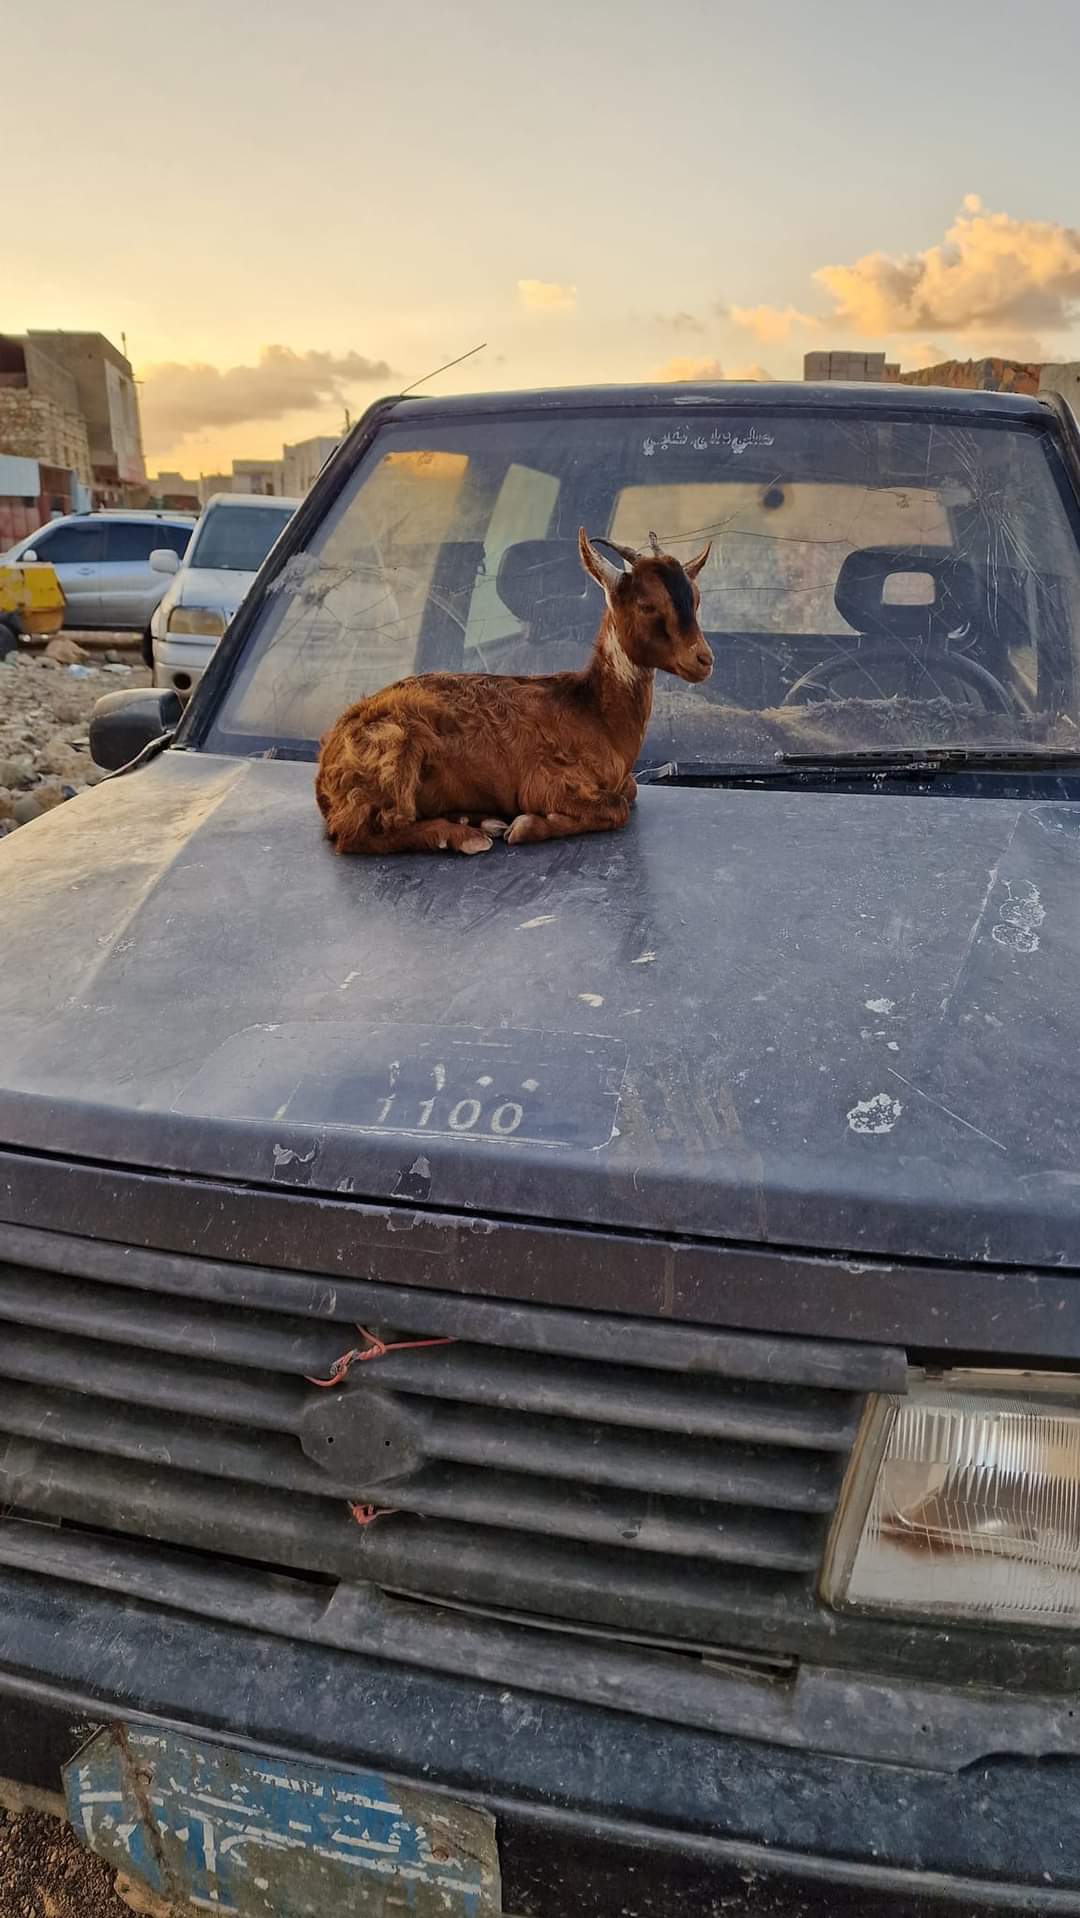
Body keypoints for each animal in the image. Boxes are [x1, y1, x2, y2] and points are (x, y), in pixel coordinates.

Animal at [316, 525, 713, 855]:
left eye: (695, 599)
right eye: (646, 605)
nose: (704, 659)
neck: (596, 714)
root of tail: (326, 766)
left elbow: (629, 792)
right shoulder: (547, 780)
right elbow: (616, 808)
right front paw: (529, 825)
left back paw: (477, 820)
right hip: (395, 751)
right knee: (359, 833)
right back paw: (465, 836)